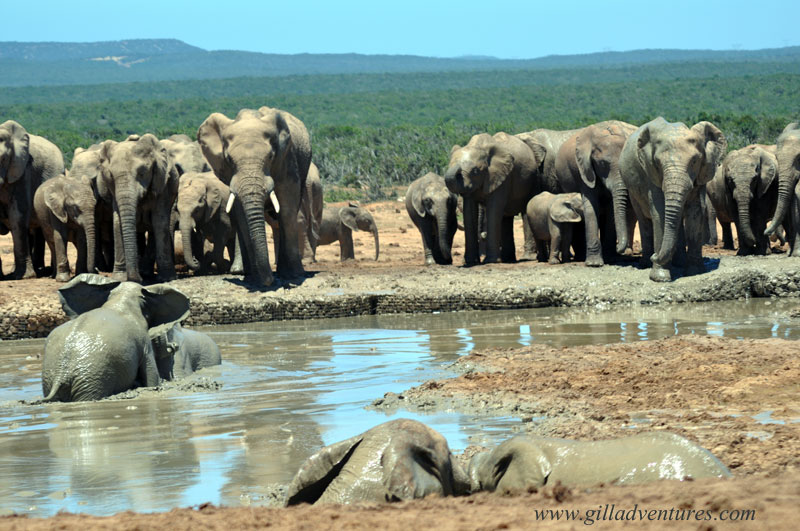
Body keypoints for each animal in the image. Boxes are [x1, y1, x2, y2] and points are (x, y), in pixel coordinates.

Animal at [41, 274, 190, 402]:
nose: (174, 346)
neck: (121, 301)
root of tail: (61, 375)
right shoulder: (143, 342)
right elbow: (151, 378)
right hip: (93, 378)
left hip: (52, 376)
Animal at [198, 106, 312, 286]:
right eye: (229, 159)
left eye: (271, 156)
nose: (270, 280)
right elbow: (242, 215)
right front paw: (257, 278)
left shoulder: (287, 159)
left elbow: (287, 208)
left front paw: (294, 275)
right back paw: (245, 272)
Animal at [444, 132, 546, 265]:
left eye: (475, 171)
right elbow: (469, 210)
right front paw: (471, 262)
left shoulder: (502, 176)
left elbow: (494, 208)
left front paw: (490, 261)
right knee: (506, 217)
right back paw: (508, 260)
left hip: (534, 178)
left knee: (526, 207)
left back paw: (526, 258)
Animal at [555, 121, 638, 266]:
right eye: (602, 163)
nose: (620, 249)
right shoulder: (584, 171)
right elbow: (591, 206)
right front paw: (594, 264)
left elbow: (611, 210)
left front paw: (611, 259)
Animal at [619, 117, 726, 282]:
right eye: (657, 163)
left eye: (695, 161)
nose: (654, 256)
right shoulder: (651, 175)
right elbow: (660, 213)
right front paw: (660, 277)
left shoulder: (701, 175)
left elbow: (696, 211)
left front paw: (694, 272)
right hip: (631, 189)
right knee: (643, 220)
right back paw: (645, 264)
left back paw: (678, 262)